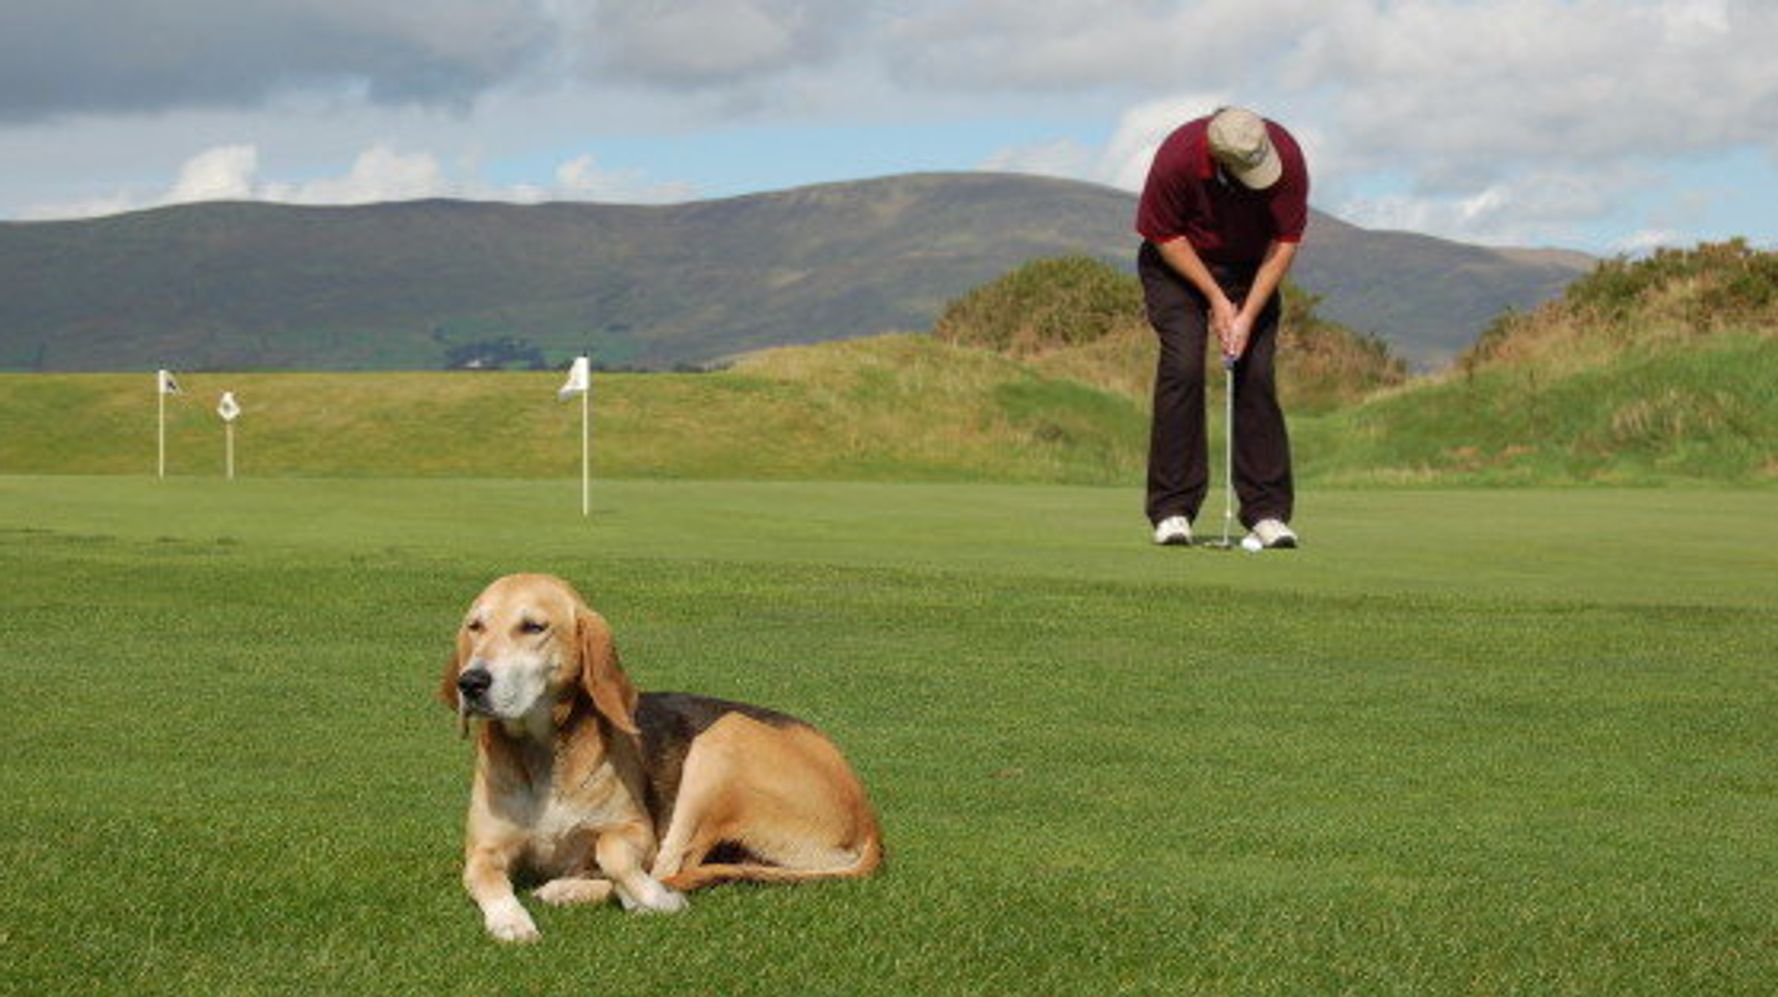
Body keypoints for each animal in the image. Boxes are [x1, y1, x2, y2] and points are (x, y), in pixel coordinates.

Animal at [437, 572, 881, 938]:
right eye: (475, 626)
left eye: (533, 627)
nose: (471, 682)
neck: (543, 752)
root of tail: (868, 817)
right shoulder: (482, 852)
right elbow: (487, 880)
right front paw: (509, 920)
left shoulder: (635, 831)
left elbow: (614, 854)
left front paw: (647, 897)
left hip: (720, 742)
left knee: (669, 868)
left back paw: (596, 890)